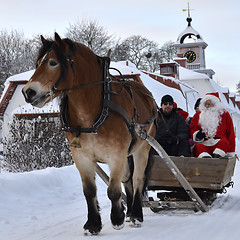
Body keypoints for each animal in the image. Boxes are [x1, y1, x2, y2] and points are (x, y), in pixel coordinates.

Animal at [21, 32, 157, 235]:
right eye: (38, 63)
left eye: (53, 62)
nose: (28, 91)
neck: (92, 115)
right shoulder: (81, 157)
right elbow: (90, 191)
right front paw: (93, 224)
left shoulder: (116, 155)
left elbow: (113, 190)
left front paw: (117, 219)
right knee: (127, 180)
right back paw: (130, 212)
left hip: (143, 147)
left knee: (137, 179)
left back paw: (136, 214)